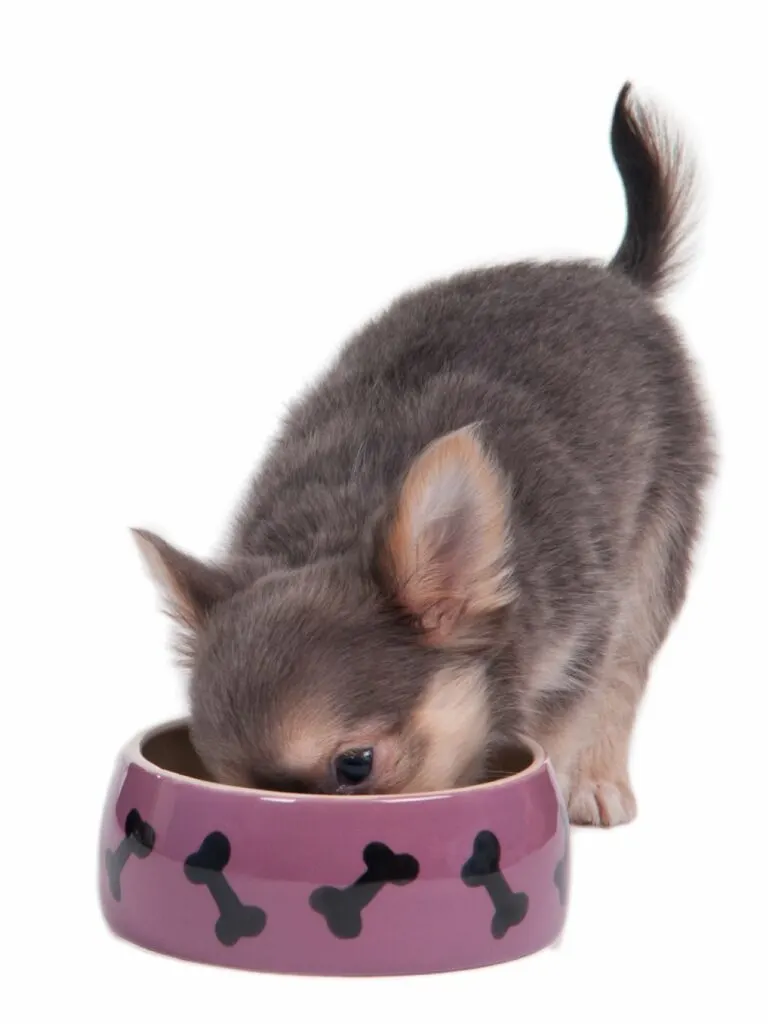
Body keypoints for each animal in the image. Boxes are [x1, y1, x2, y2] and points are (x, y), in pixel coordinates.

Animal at [134, 83, 716, 827]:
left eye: (355, 765)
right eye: (218, 777)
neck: (338, 528)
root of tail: (615, 277)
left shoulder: (581, 644)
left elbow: (564, 726)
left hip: (657, 546)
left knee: (629, 668)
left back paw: (599, 781)